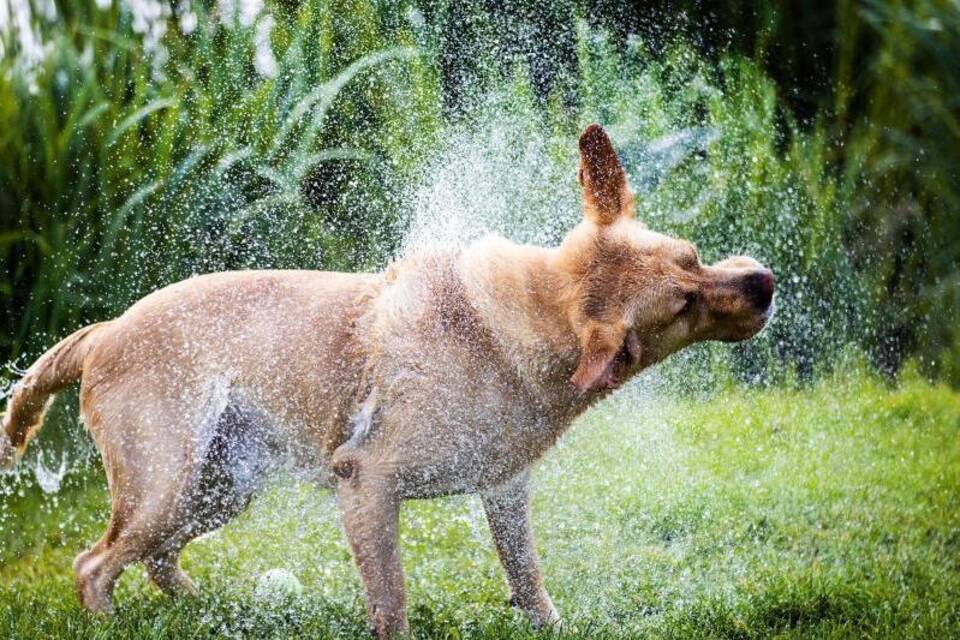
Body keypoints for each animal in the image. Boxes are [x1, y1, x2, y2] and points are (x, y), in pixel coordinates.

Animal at [0, 124, 772, 636]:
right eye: (685, 302)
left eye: (692, 255)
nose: (764, 282)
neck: (519, 326)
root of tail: (106, 330)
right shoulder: (367, 482)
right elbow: (392, 600)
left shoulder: (504, 488)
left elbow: (528, 578)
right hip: (166, 482)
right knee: (94, 564)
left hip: (219, 485)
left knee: (157, 561)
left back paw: (208, 608)